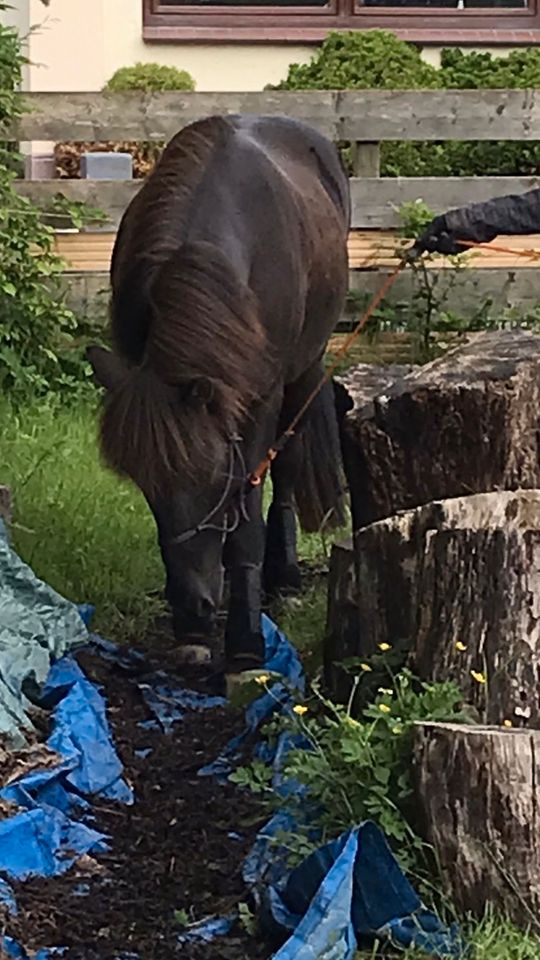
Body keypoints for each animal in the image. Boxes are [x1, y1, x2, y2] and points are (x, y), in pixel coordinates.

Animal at [88, 112, 350, 680]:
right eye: (145, 486)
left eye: (214, 478)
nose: (194, 609)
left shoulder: (259, 401)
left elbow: (247, 522)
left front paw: (246, 645)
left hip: (304, 371)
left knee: (286, 468)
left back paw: (284, 576)